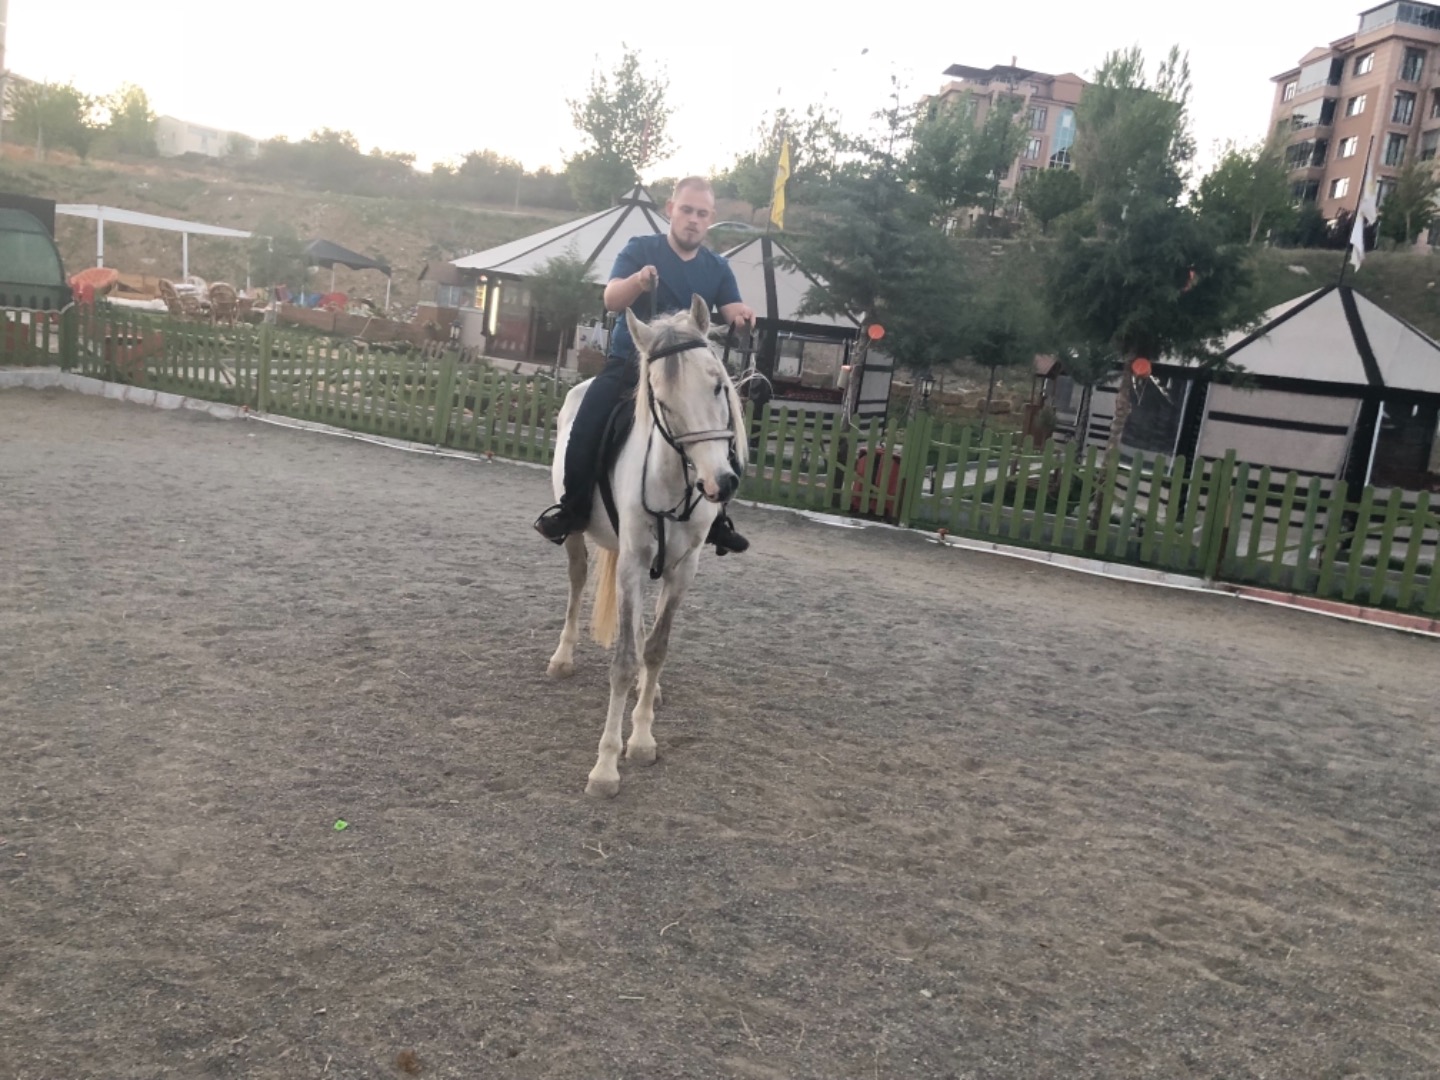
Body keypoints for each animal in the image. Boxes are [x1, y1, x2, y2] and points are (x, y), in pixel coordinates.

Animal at [546, 295, 748, 798]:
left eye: (719, 386)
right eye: (662, 398)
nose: (720, 482)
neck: (674, 478)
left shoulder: (683, 568)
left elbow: (655, 648)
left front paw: (641, 740)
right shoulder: (633, 563)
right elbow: (622, 662)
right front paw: (605, 767)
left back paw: (648, 689)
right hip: (579, 539)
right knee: (578, 580)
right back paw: (562, 657)